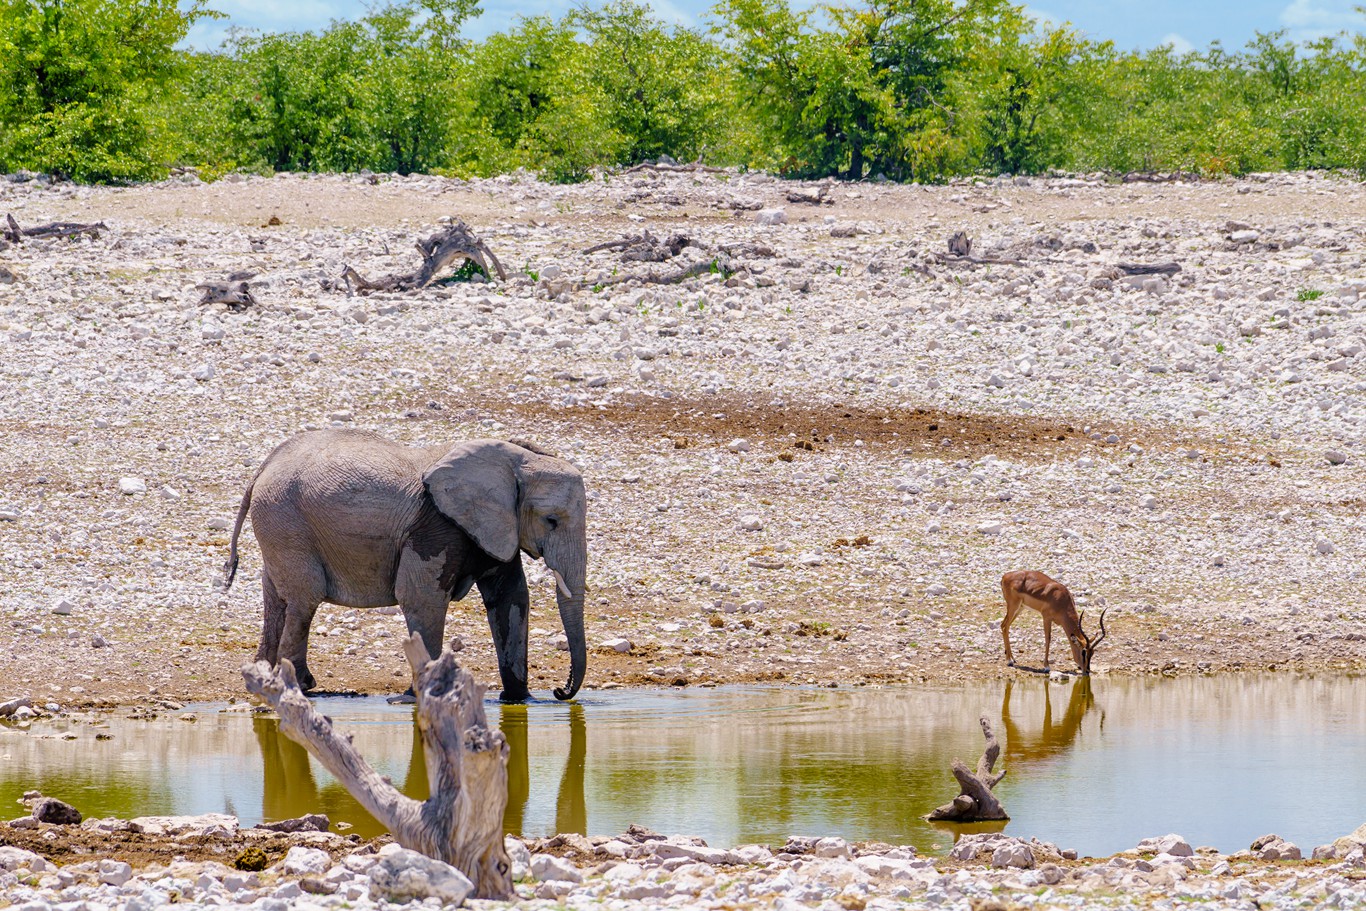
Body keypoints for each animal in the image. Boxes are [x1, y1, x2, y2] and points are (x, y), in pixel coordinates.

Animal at [224, 431, 587, 704]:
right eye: (551, 521)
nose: (559, 691)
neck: (515, 459)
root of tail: (264, 466)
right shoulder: (437, 525)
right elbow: (422, 596)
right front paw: (415, 697)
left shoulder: (493, 526)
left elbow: (510, 598)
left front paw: (519, 700)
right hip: (286, 521)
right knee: (303, 600)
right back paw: (297, 686)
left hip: (276, 525)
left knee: (277, 600)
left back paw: (263, 679)